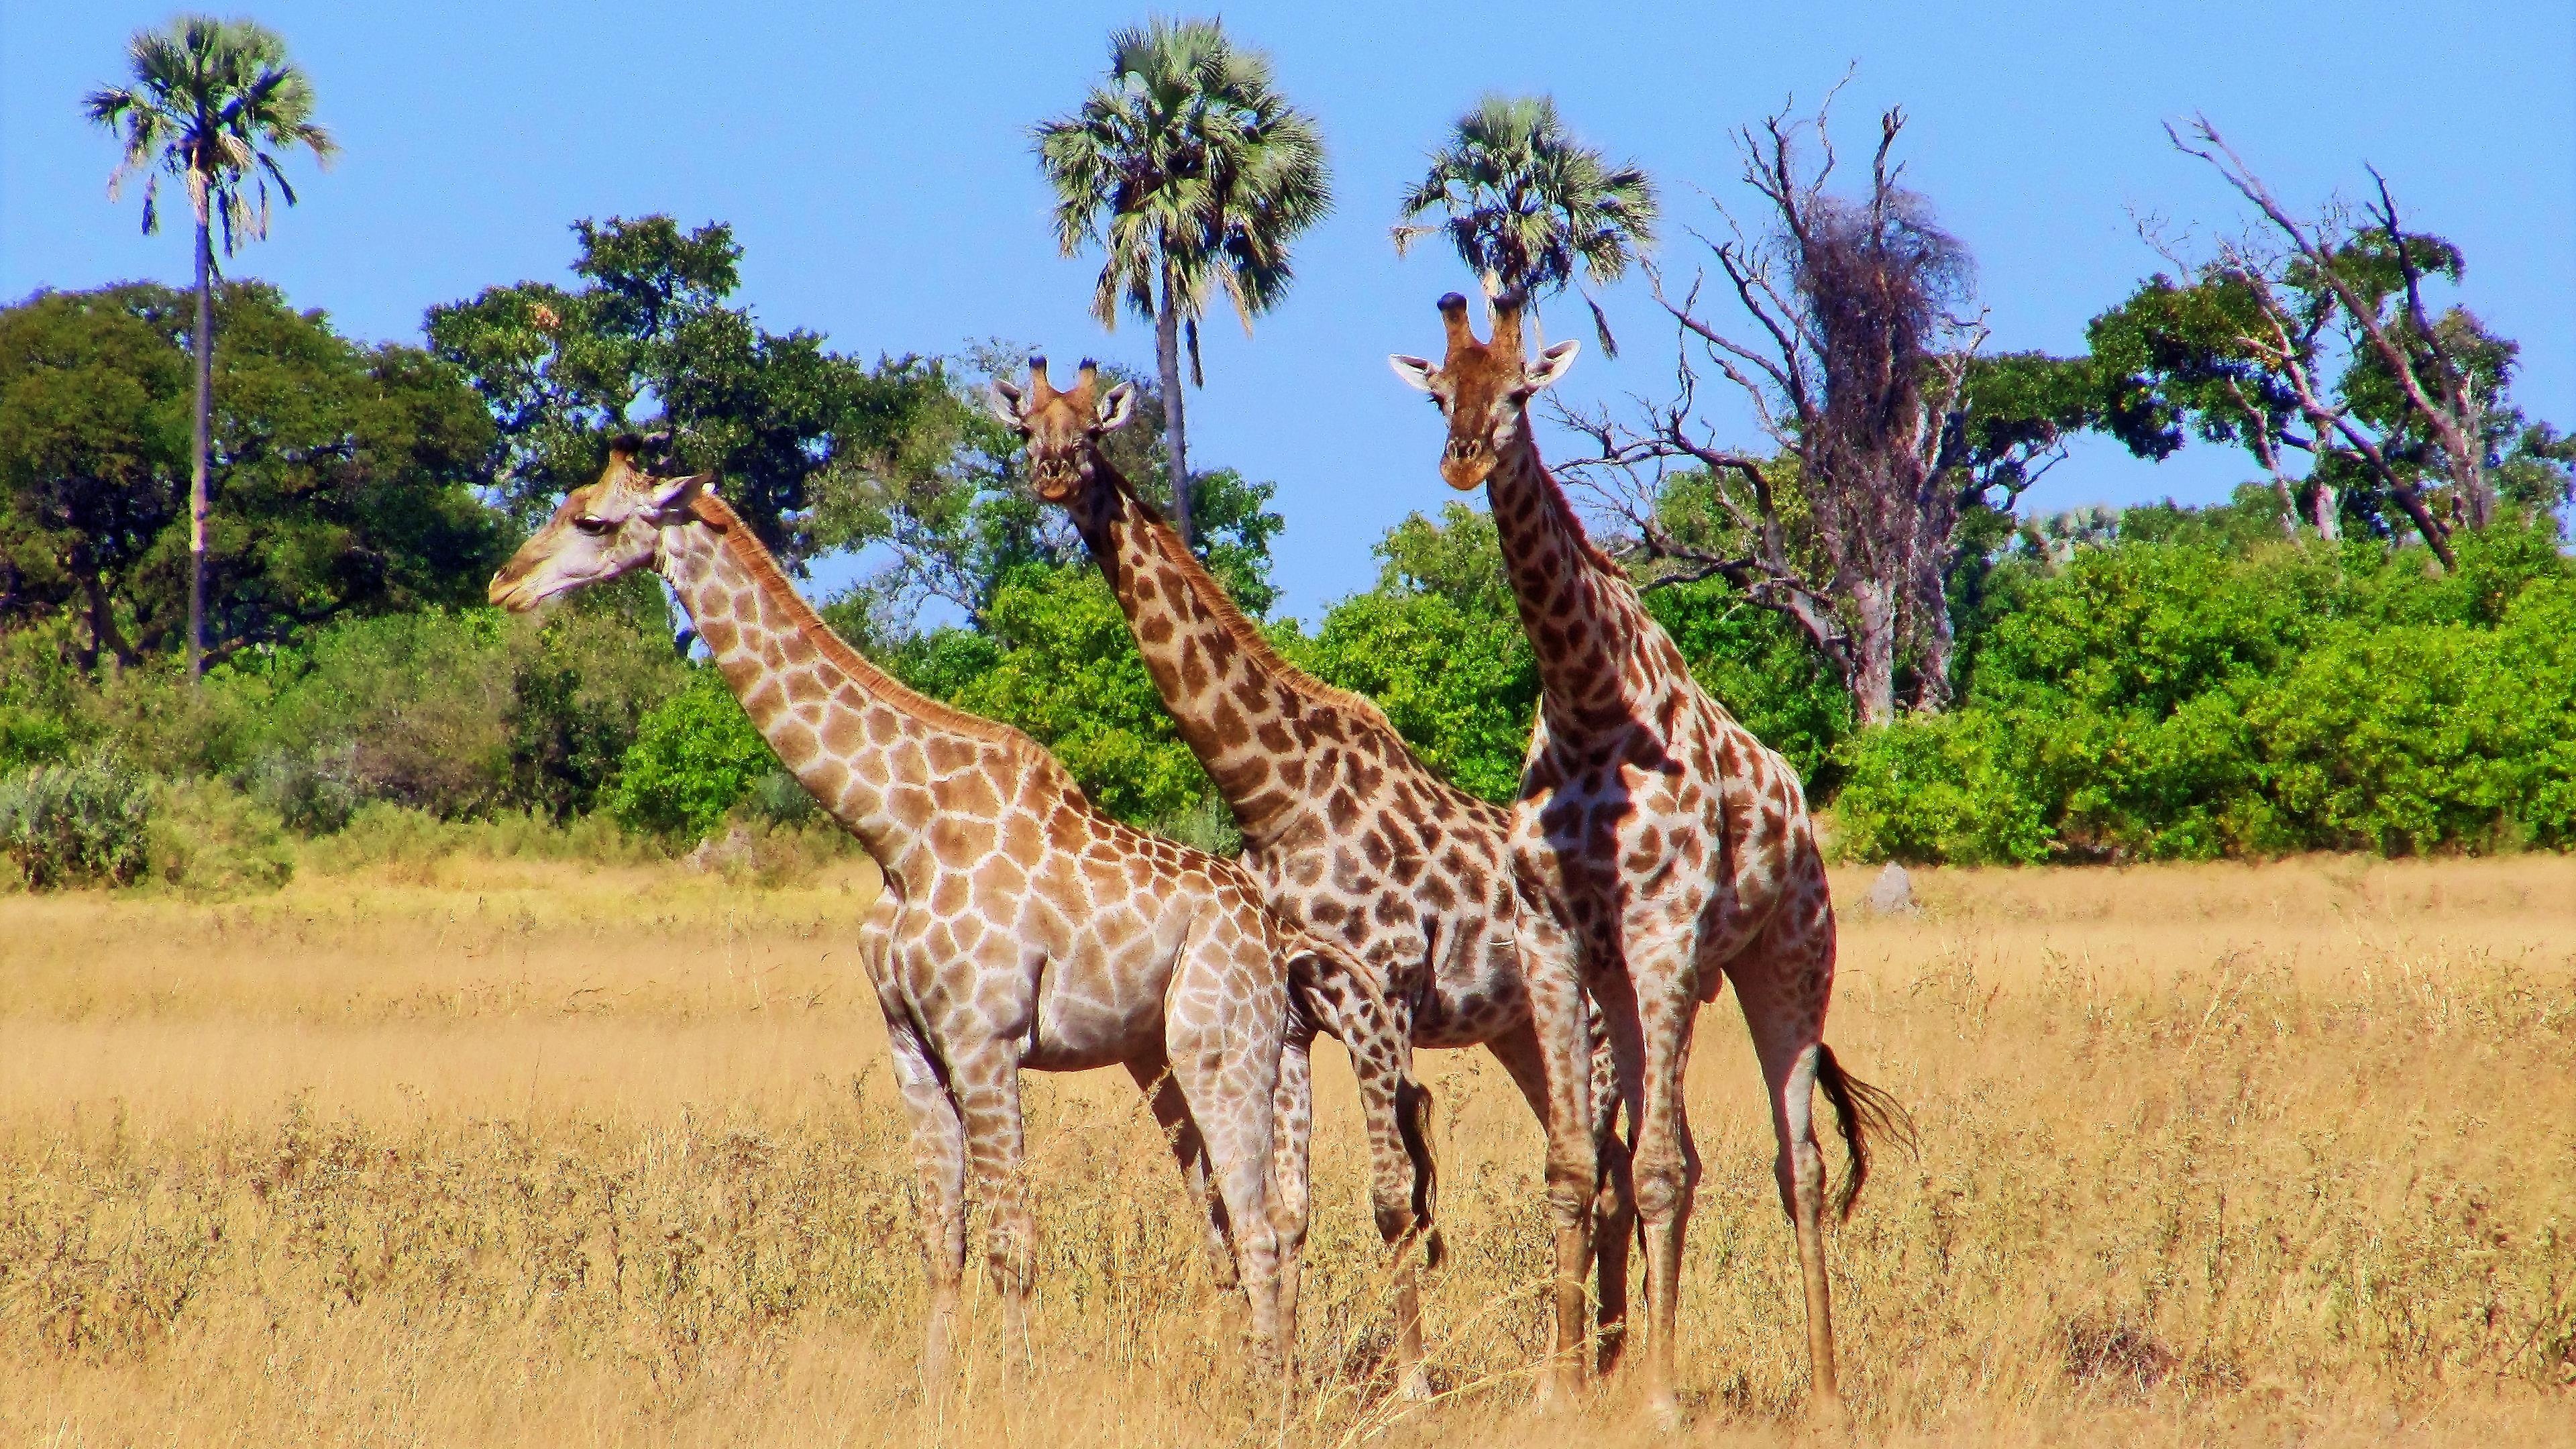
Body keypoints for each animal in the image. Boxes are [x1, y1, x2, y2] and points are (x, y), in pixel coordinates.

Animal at [486, 438, 1432, 1371]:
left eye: (592, 520)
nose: (504, 584)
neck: (897, 833)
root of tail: (1274, 933)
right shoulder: (911, 1044)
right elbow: (943, 1243)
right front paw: (937, 1390)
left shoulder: (986, 1041)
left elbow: (1014, 1245)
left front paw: (1014, 1390)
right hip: (1168, 1055)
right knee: (1238, 1225)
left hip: (1222, 1048)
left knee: (1264, 1225)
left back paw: (1273, 1391)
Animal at [994, 356, 1617, 1392]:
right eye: (1025, 429)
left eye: (1091, 431)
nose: (1050, 474)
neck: (1274, 791)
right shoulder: (1291, 1015)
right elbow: (1289, 1213)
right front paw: (1275, 1379)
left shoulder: (1377, 1003)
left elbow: (1394, 1202)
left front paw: (1412, 1386)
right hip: (1520, 1034)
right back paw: (1604, 1356)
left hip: (1596, 1029)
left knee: (1608, 1167)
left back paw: (1594, 1362)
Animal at [1391, 290, 1916, 1423]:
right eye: (1441, 395)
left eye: (1522, 393)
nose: (1461, 460)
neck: (1591, 705)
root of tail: (1802, 812)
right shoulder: (1554, 944)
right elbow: (1574, 1168)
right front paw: (1557, 1392)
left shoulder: (1667, 934)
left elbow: (1668, 1170)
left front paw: (1663, 1398)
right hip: (1631, 989)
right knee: (1676, 1156)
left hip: (1785, 962)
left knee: (1798, 1163)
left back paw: (1824, 1394)